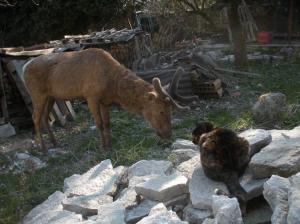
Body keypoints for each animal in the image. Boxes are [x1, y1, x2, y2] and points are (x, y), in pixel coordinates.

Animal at [23, 48, 188, 151]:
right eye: (161, 111)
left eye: (170, 110)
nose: (168, 134)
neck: (112, 86)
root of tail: (24, 67)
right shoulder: (91, 96)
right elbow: (99, 123)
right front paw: (103, 147)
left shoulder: (105, 101)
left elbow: (108, 123)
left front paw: (110, 145)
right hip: (36, 93)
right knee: (35, 117)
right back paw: (43, 148)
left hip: (50, 95)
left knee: (44, 117)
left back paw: (54, 142)